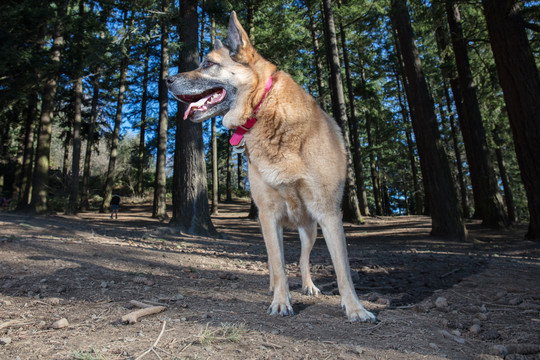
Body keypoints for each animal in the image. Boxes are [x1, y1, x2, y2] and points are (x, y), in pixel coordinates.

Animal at [168, 11, 376, 324]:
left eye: (208, 63)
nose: (167, 79)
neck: (263, 108)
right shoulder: (268, 214)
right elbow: (278, 264)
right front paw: (280, 301)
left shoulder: (328, 213)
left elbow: (343, 270)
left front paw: (355, 308)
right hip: (270, 224)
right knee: (274, 261)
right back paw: (274, 287)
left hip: (310, 230)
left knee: (302, 260)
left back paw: (308, 285)